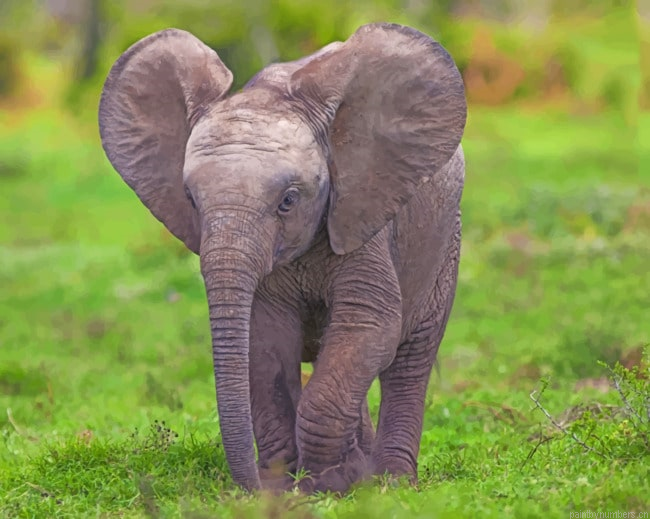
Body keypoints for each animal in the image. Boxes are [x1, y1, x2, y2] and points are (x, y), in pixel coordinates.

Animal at [98, 22, 467, 494]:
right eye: (191, 201)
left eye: (288, 200)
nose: (254, 486)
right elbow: (266, 341)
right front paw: (292, 484)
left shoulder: (362, 220)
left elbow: (369, 325)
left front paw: (327, 482)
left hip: (445, 239)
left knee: (410, 357)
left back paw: (392, 480)